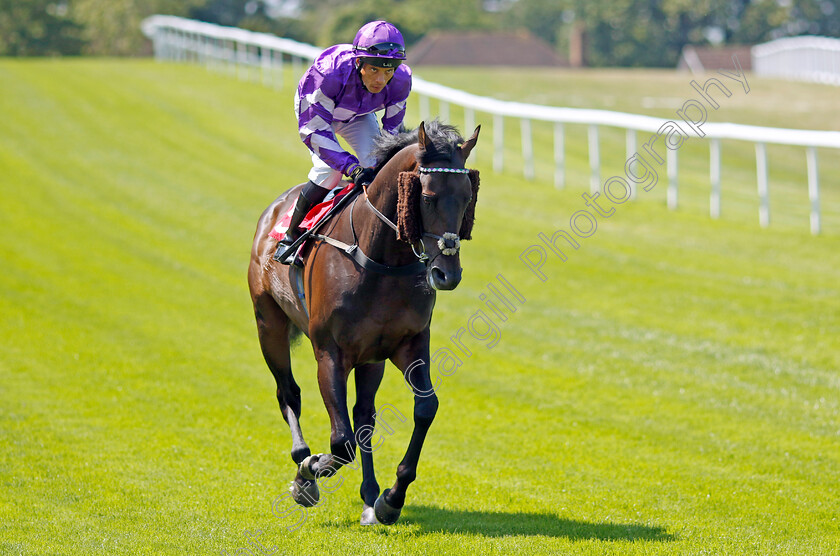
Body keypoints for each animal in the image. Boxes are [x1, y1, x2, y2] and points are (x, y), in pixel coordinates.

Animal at [246, 121, 480, 524]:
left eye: (467, 199)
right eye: (428, 197)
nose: (446, 274)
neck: (380, 258)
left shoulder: (407, 344)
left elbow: (424, 409)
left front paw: (391, 498)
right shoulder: (330, 351)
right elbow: (341, 442)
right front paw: (310, 470)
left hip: (371, 359)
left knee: (364, 417)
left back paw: (370, 495)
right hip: (269, 324)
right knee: (288, 393)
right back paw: (302, 460)